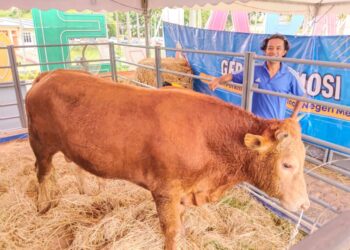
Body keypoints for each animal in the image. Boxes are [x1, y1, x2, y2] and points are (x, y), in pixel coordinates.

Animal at [25, 69, 308, 250]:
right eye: (287, 164)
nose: (304, 204)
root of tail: (50, 74)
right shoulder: (165, 191)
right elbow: (172, 231)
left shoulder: (184, 192)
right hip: (40, 143)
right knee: (42, 172)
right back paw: (42, 207)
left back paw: (83, 192)